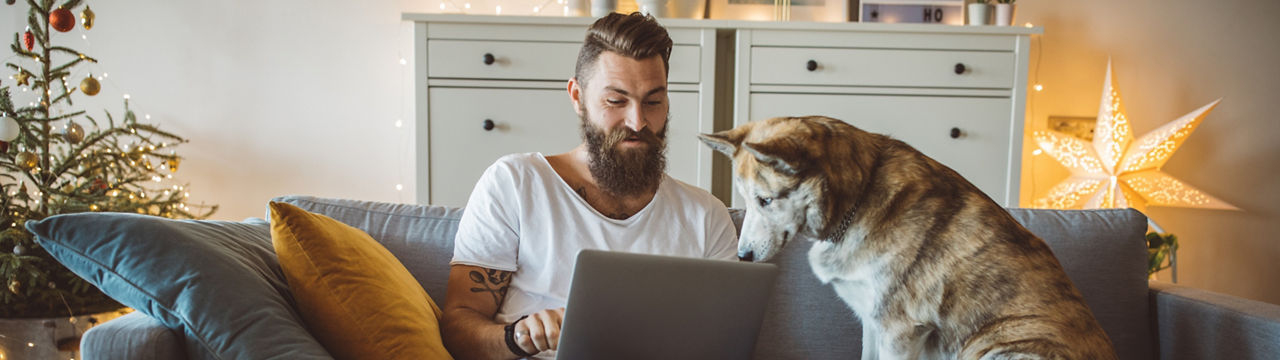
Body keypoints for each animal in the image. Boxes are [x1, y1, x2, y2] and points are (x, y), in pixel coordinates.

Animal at [706, 116, 1116, 356]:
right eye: (746, 200)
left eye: (765, 200)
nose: (742, 257)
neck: (859, 196)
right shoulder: (873, 323)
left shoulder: (899, 330)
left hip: (997, 342)